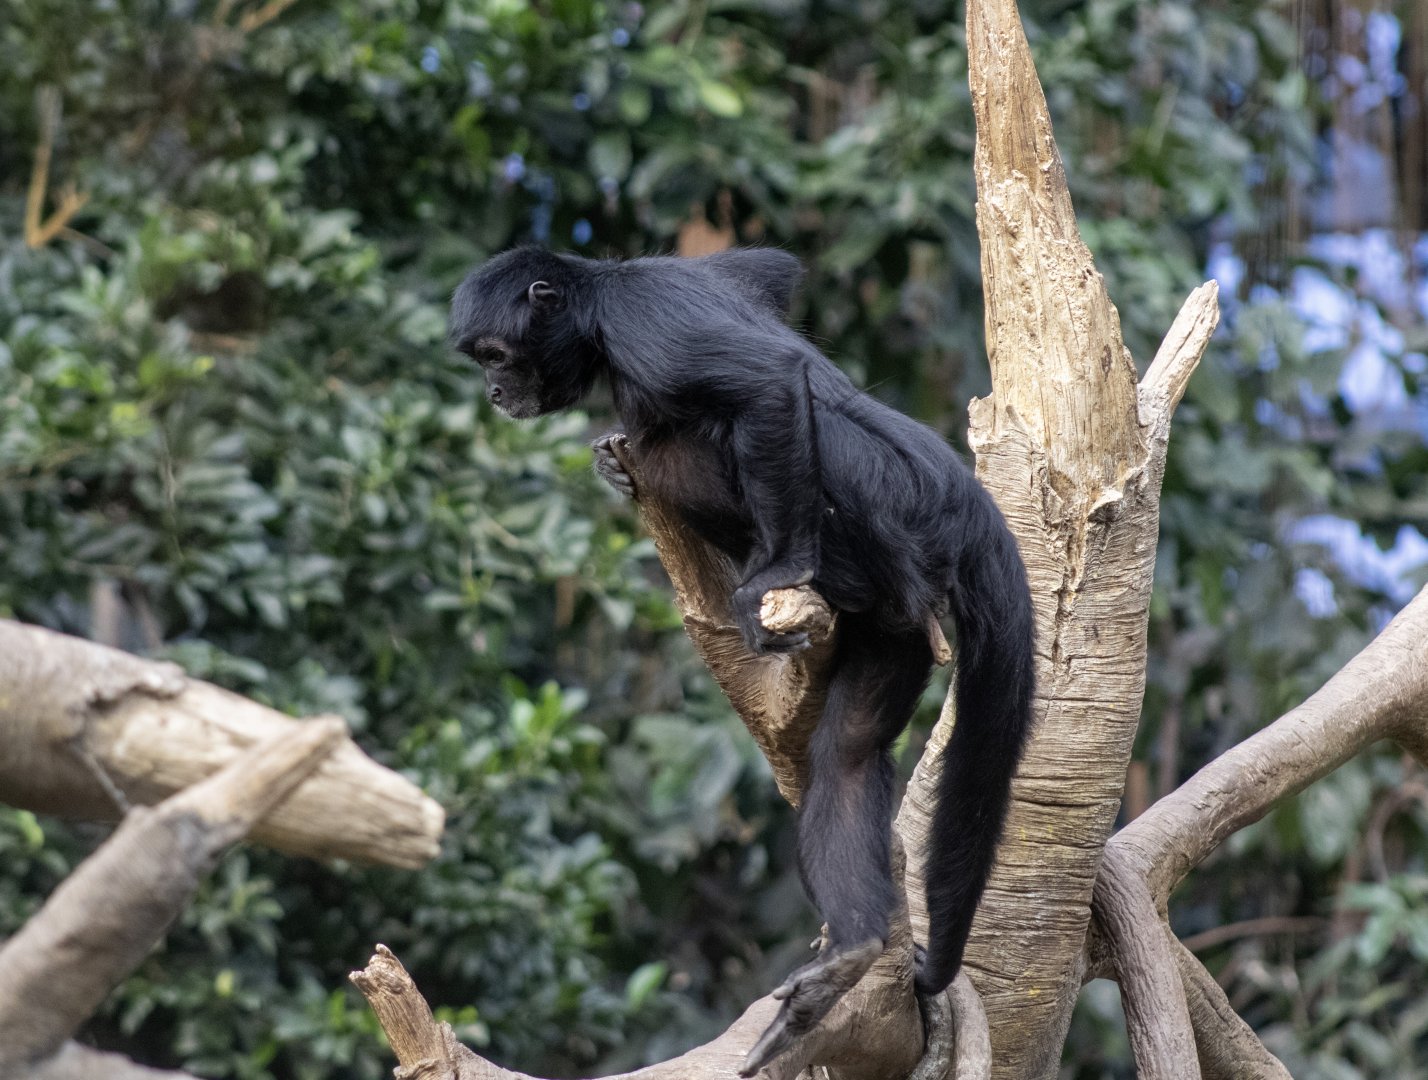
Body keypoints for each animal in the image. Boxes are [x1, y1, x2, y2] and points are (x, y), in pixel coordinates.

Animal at [450, 246, 1035, 1075]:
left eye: (497, 358)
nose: (496, 392)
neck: (600, 297)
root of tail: (964, 499)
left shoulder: (642, 316)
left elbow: (770, 386)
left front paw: (777, 569)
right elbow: (774, 270)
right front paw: (609, 463)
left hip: (887, 501)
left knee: (690, 441)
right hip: (894, 631)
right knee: (847, 755)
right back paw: (856, 949)